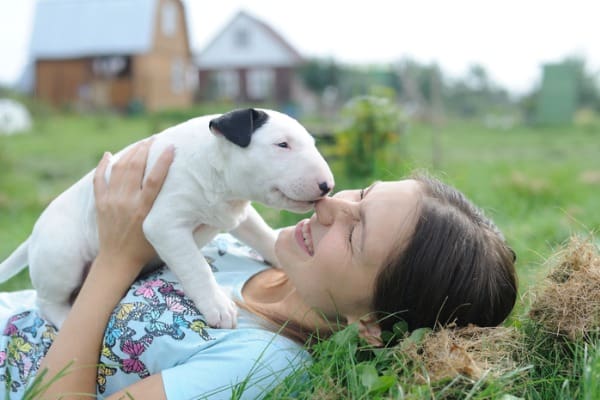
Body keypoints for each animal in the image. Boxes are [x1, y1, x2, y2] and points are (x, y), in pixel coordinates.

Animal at [0, 108, 332, 328]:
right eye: (282, 144)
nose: (327, 186)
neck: (215, 168)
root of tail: (34, 236)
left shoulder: (237, 211)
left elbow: (261, 233)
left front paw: (279, 251)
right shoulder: (164, 225)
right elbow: (197, 267)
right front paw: (217, 306)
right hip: (62, 259)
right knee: (46, 302)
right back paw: (67, 318)